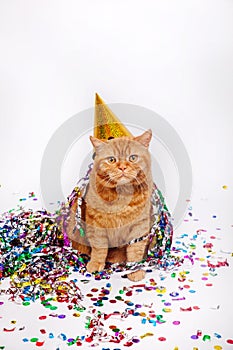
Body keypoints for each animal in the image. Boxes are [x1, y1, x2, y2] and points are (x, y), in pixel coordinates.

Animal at [68, 129, 154, 282]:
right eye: (112, 160)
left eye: (132, 158)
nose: (122, 167)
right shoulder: (95, 222)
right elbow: (99, 247)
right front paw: (96, 264)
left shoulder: (140, 225)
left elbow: (135, 250)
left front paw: (135, 269)